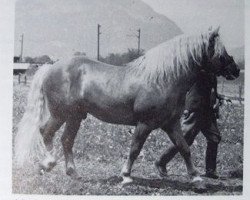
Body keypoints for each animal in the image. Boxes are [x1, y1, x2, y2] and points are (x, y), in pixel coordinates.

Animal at [14, 27, 240, 184]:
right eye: (221, 52)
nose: (236, 70)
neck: (163, 80)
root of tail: (51, 67)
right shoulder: (144, 124)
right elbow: (135, 149)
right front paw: (126, 176)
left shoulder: (171, 124)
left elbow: (184, 147)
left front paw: (196, 178)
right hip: (63, 115)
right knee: (51, 134)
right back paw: (51, 164)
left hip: (73, 117)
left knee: (61, 138)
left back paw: (68, 171)